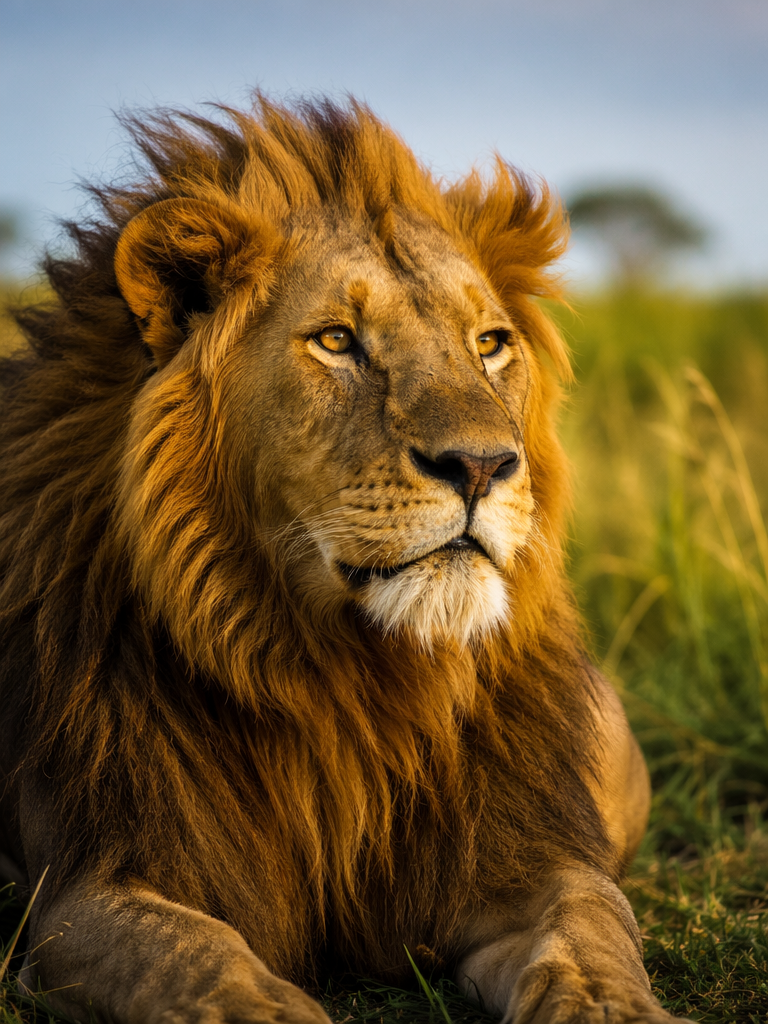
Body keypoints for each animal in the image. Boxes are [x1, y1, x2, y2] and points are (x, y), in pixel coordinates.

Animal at [0, 96, 671, 1024]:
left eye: (489, 342)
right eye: (336, 341)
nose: (483, 465)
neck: (346, 680)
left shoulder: (523, 862)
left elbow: (594, 935)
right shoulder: (90, 885)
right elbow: (199, 961)